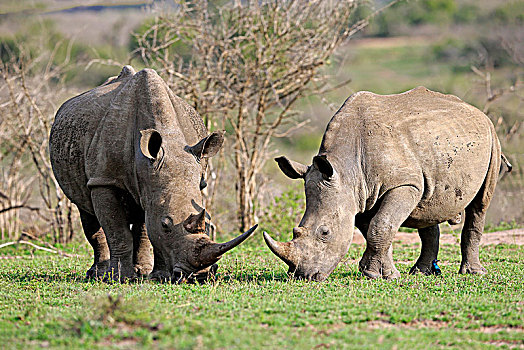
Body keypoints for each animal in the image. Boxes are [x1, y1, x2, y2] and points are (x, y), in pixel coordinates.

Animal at [49, 65, 256, 282]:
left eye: (208, 222)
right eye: (166, 225)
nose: (198, 275)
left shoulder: (155, 183)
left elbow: (149, 229)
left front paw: (158, 276)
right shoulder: (105, 180)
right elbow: (118, 231)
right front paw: (120, 278)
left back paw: (139, 272)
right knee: (86, 210)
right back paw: (99, 275)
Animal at [264, 87, 510, 282]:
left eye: (325, 233)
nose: (302, 275)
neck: (345, 168)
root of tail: (478, 112)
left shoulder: (403, 185)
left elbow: (380, 225)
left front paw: (373, 274)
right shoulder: (360, 194)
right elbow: (375, 228)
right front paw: (385, 273)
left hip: (492, 139)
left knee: (480, 205)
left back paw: (473, 273)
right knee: (428, 206)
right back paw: (421, 272)